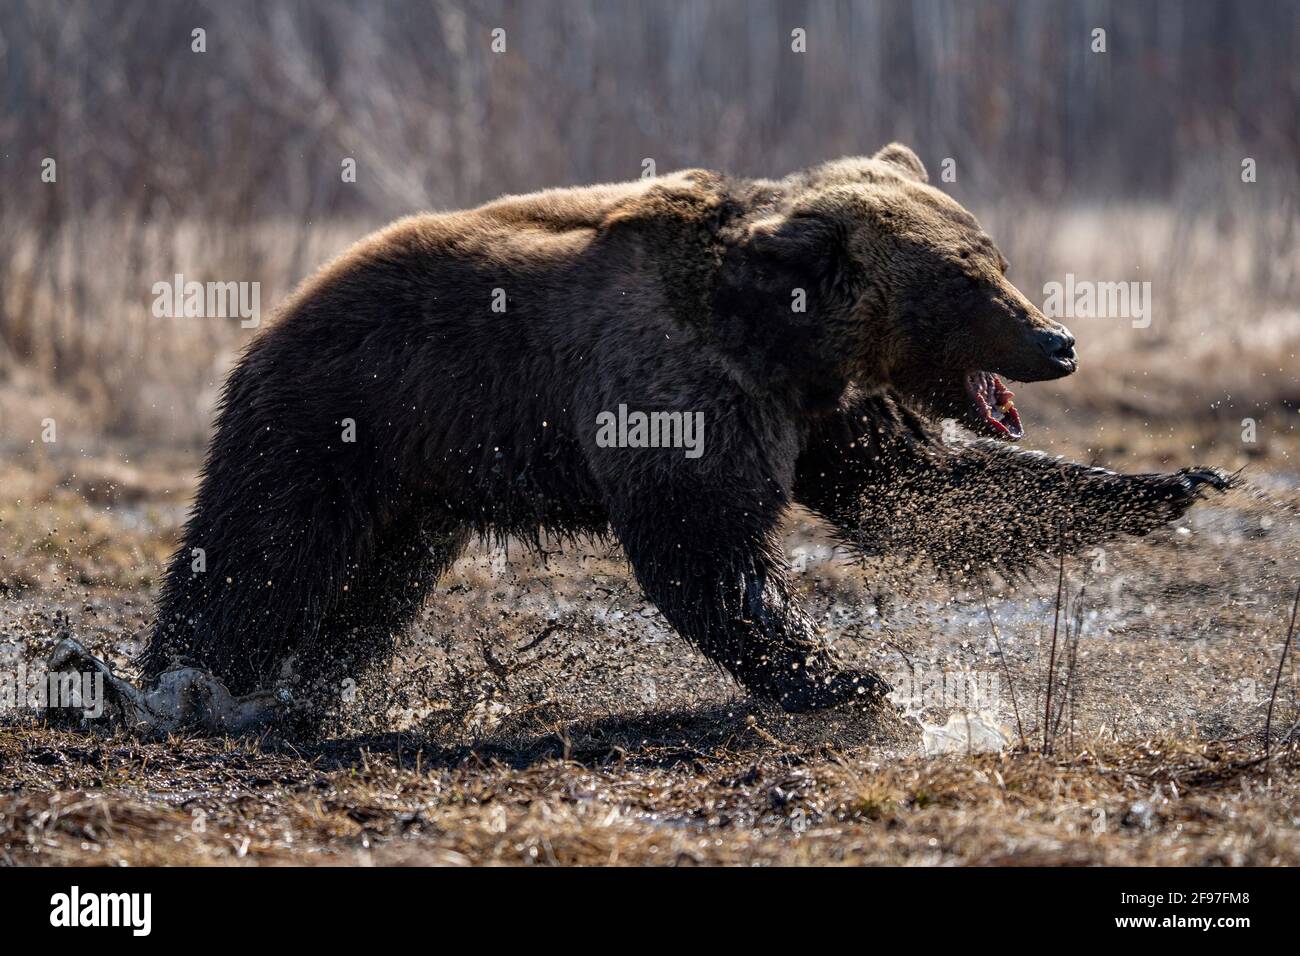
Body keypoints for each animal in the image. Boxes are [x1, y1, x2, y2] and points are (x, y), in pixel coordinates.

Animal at [137, 143, 1229, 729]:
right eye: (967, 276)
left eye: (993, 256)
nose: (1057, 340)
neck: (783, 334)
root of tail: (278, 310)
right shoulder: (682, 390)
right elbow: (707, 546)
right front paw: (843, 674)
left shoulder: (821, 409)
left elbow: (925, 490)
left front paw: (1174, 479)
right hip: (335, 418)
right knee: (262, 554)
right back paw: (183, 684)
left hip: (420, 485)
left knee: (373, 589)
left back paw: (311, 689)